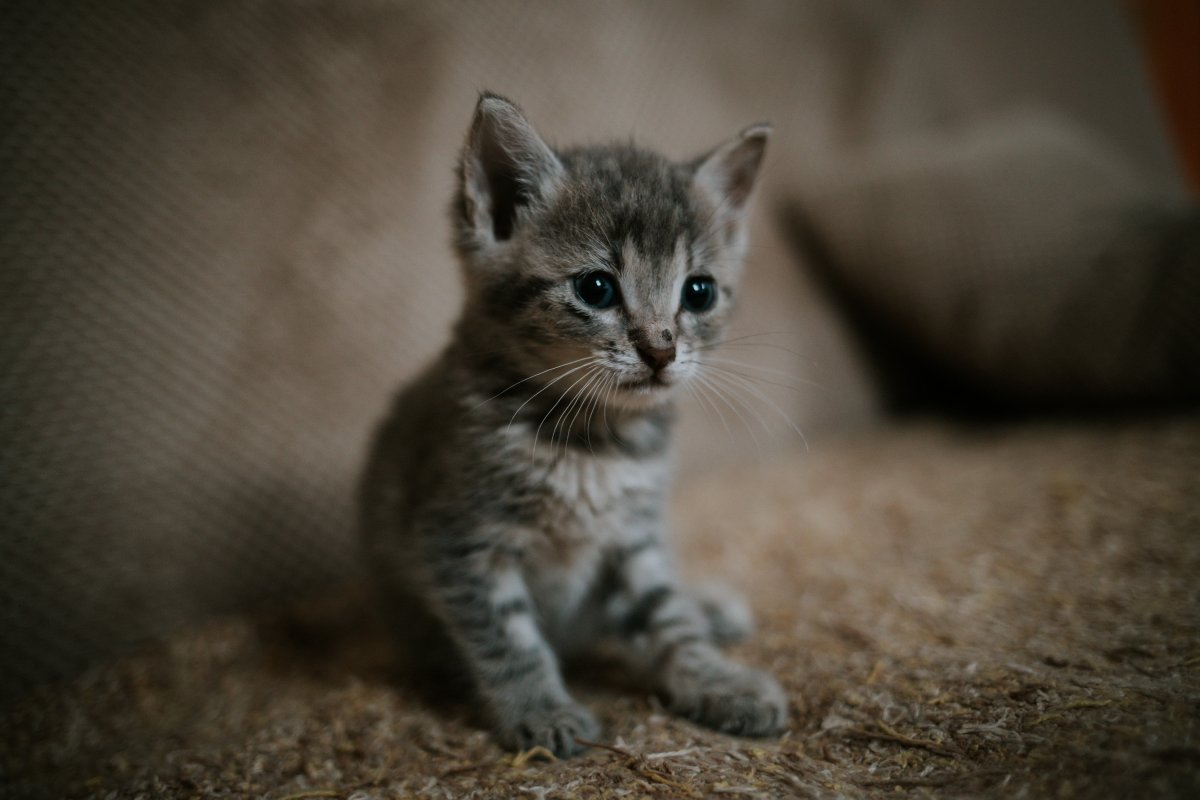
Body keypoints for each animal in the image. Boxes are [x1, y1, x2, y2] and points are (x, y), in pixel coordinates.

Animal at [357, 94, 787, 758]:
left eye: (699, 291)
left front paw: (715, 679)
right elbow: (506, 635)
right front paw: (540, 709)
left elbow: (669, 615)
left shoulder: (632, 536)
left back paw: (710, 608)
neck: (592, 443)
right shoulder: (458, 536)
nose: (661, 349)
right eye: (596, 287)